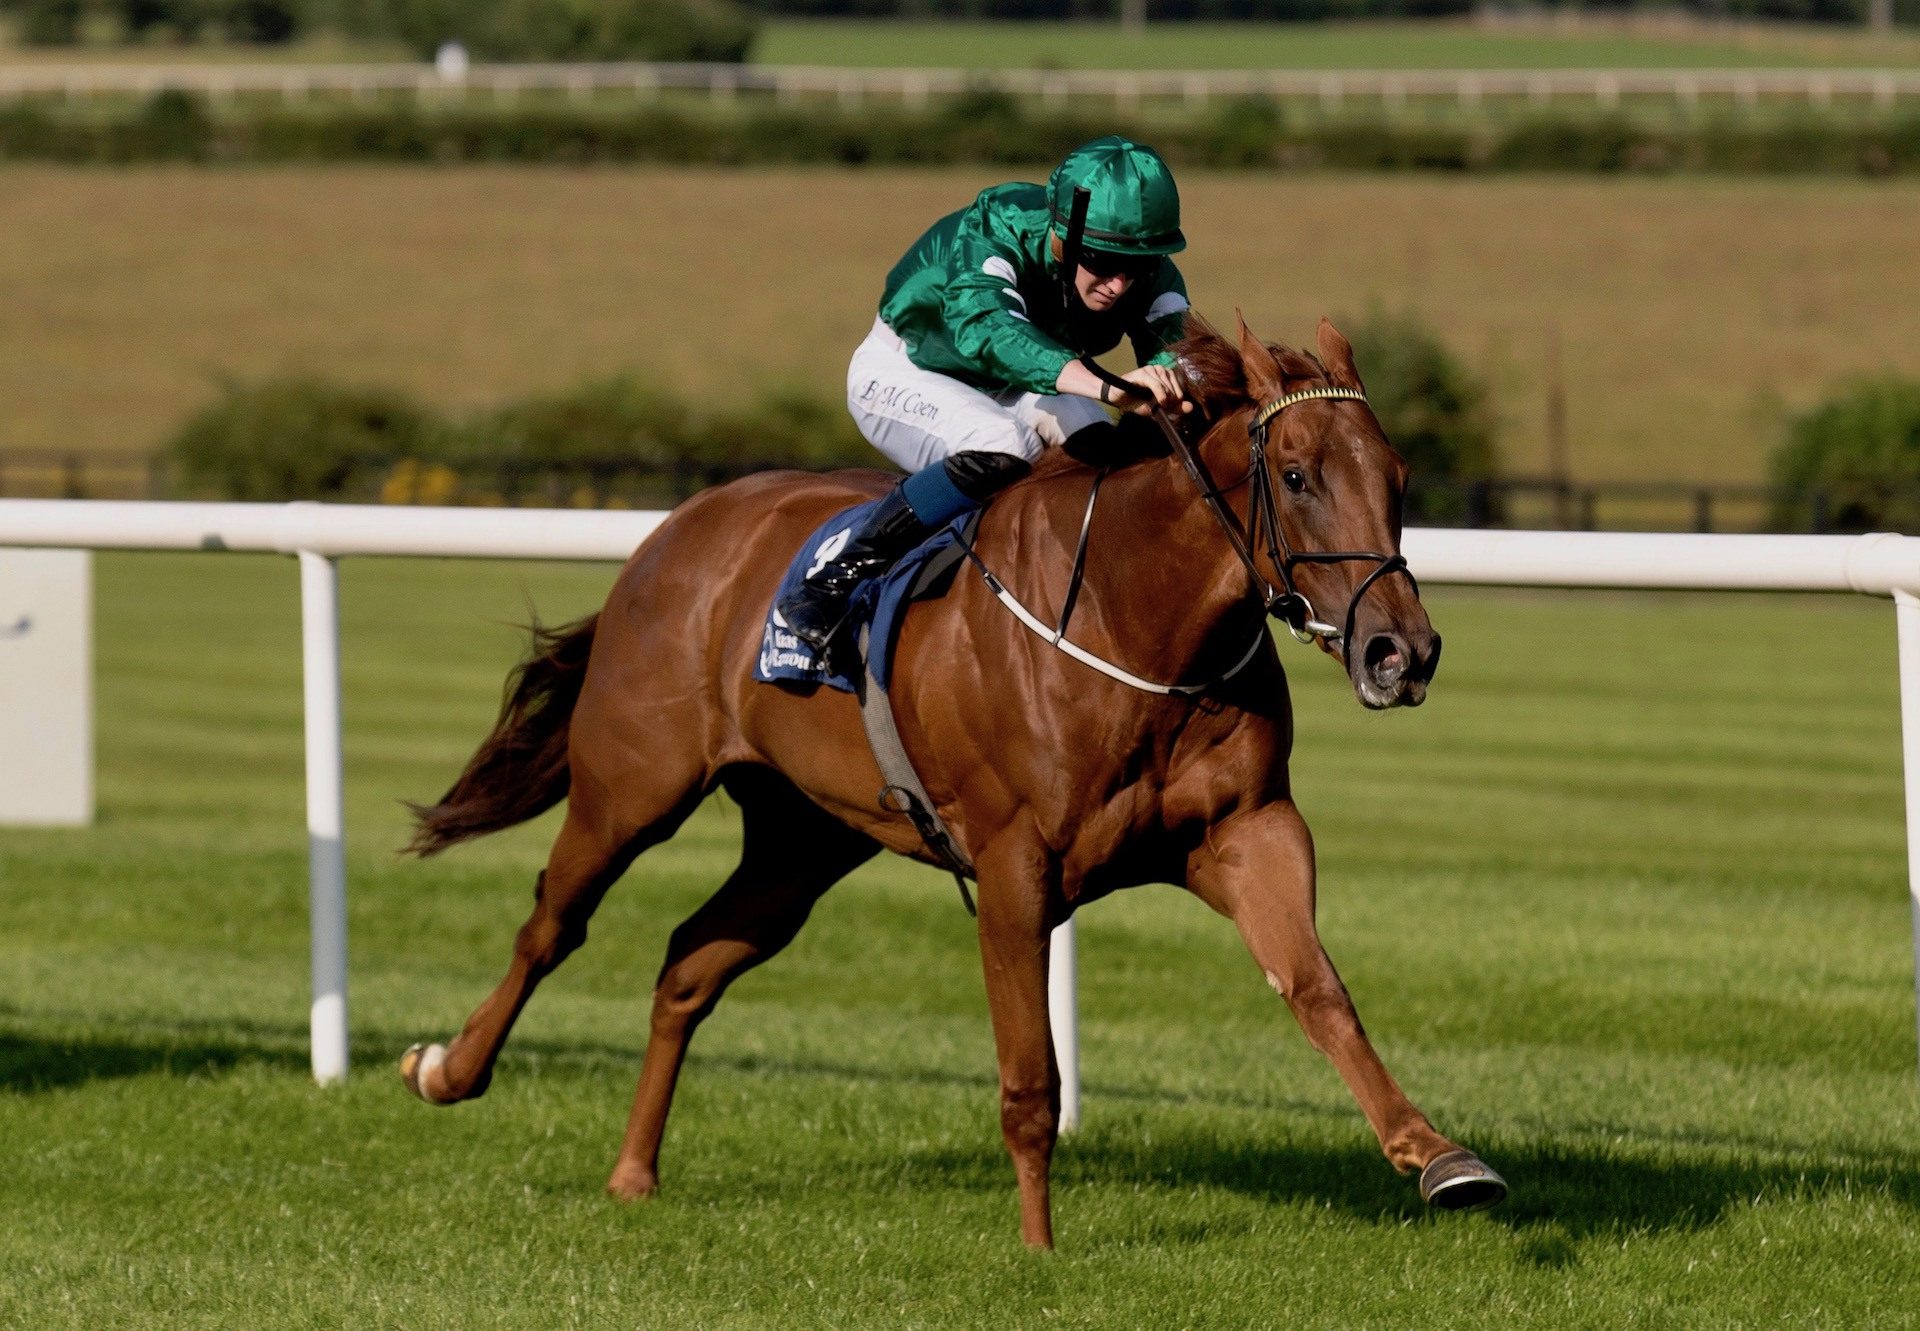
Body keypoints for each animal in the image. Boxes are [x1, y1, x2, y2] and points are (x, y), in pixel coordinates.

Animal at [405, 314, 1505, 1244]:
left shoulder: (1248, 825)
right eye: (1298, 472)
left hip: (804, 838)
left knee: (689, 961)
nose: (1402, 652)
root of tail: (677, 529)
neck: (1132, 614)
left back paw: (634, 1171)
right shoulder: (1018, 863)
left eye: (1398, 474)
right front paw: (1038, 1245)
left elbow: (1318, 987)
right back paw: (448, 1069)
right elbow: (1030, 1077)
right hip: (632, 786)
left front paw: (1437, 1155)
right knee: (553, 923)